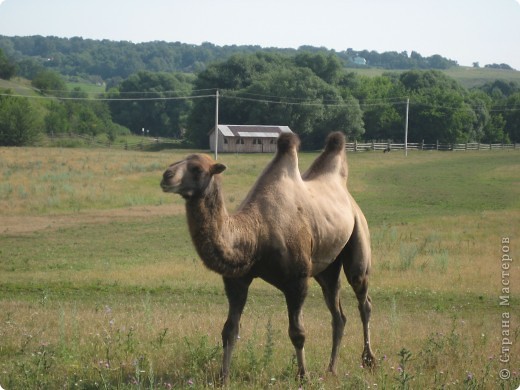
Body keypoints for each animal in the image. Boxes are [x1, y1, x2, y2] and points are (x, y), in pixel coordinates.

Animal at [160, 133, 376, 382]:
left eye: (196, 168)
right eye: (176, 161)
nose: (166, 176)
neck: (256, 235)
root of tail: (348, 197)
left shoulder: (297, 280)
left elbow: (297, 332)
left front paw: (303, 375)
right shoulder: (237, 281)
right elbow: (229, 330)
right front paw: (223, 376)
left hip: (359, 237)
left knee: (363, 300)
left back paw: (369, 360)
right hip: (326, 267)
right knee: (338, 313)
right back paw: (331, 368)